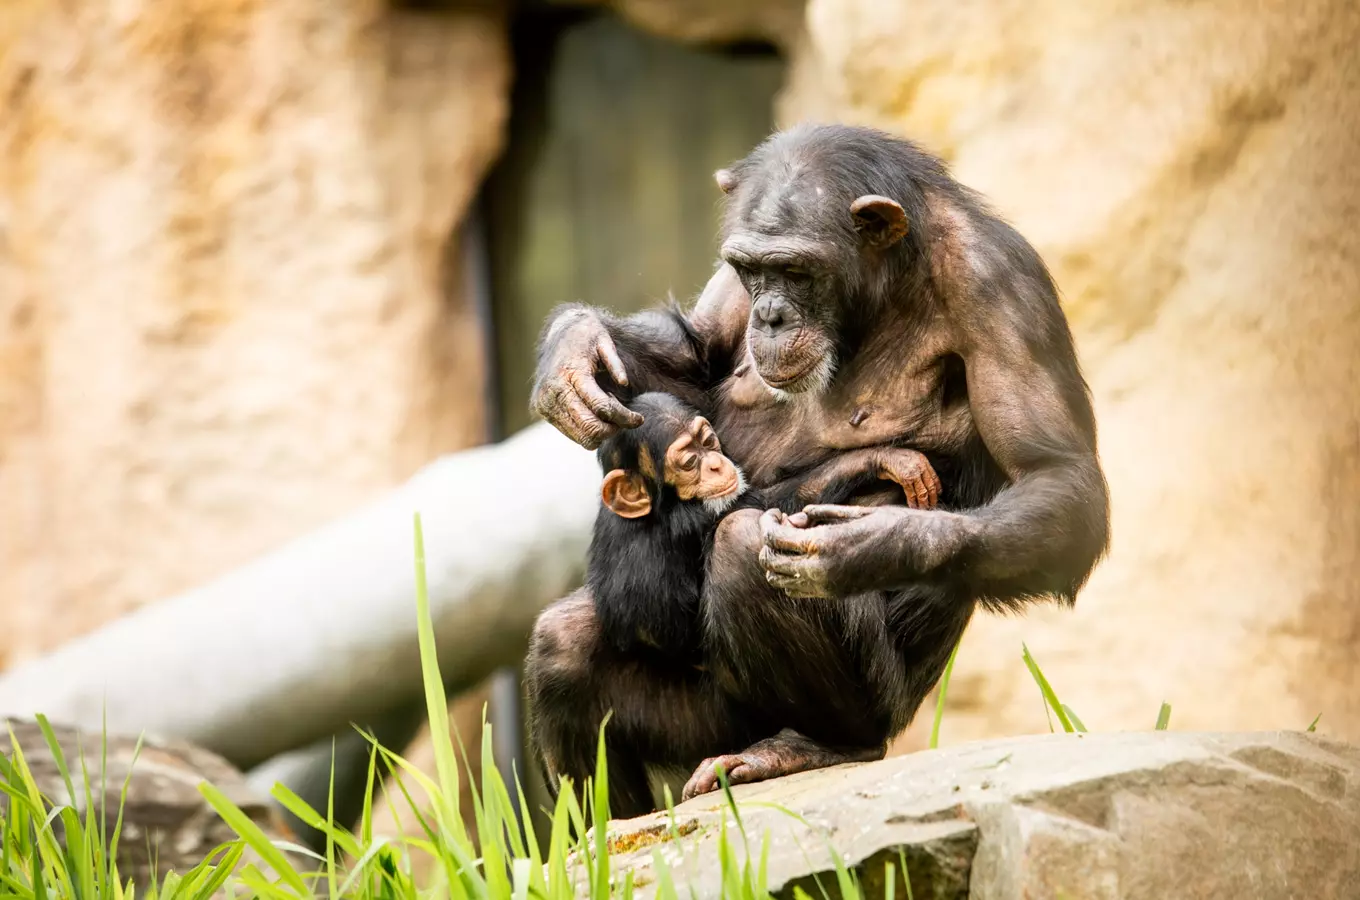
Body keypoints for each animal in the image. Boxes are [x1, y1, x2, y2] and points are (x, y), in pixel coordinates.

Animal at [584, 391, 935, 666]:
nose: (715, 465)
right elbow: (765, 502)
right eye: (689, 463)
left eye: (707, 442)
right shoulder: (692, 518)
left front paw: (885, 458)